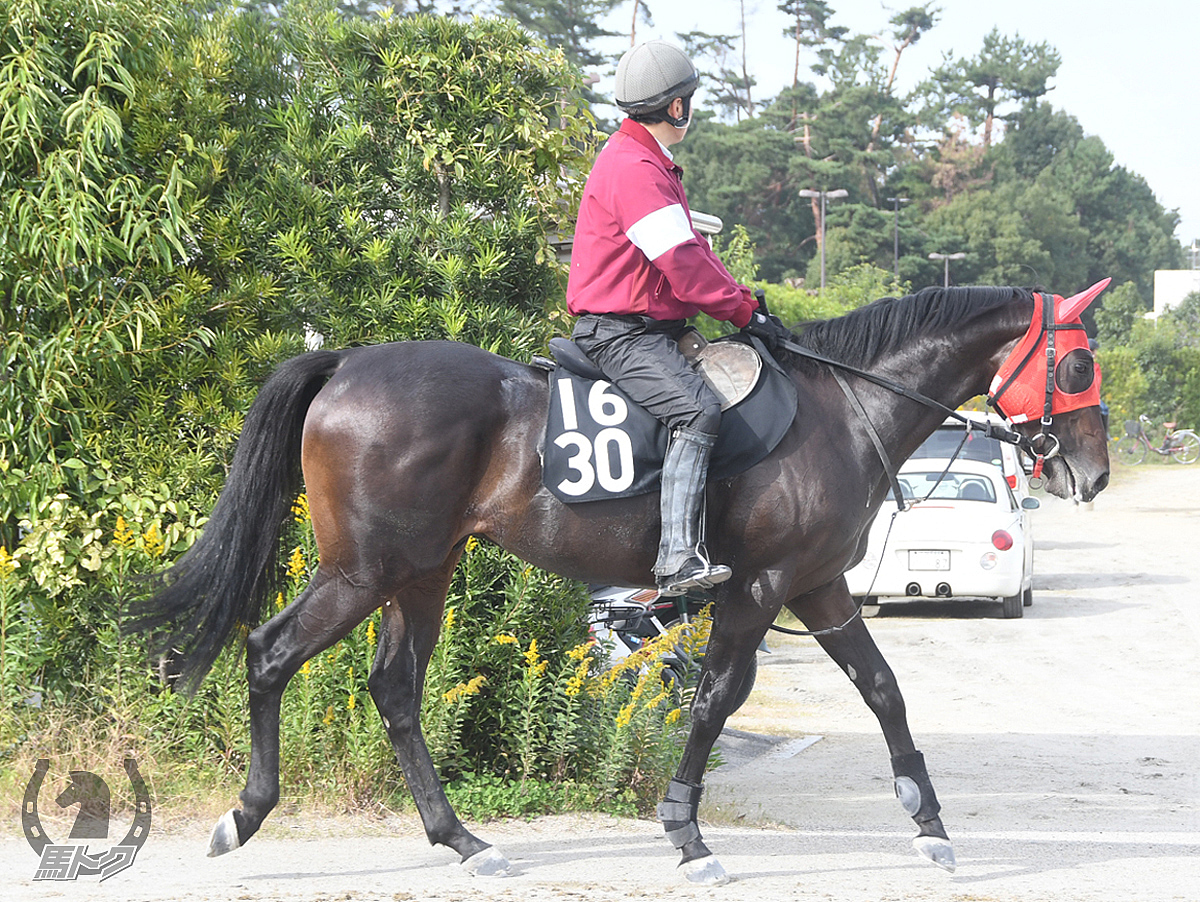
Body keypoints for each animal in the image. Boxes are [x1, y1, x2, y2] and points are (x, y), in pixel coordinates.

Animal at [126, 285, 1108, 882]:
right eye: (1077, 363)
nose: (1091, 474)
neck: (844, 406)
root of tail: (347, 363)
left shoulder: (821, 587)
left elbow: (883, 689)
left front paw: (929, 822)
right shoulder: (762, 587)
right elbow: (716, 699)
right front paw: (686, 831)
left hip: (423, 573)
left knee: (395, 689)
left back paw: (462, 840)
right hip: (364, 571)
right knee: (269, 653)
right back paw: (247, 815)